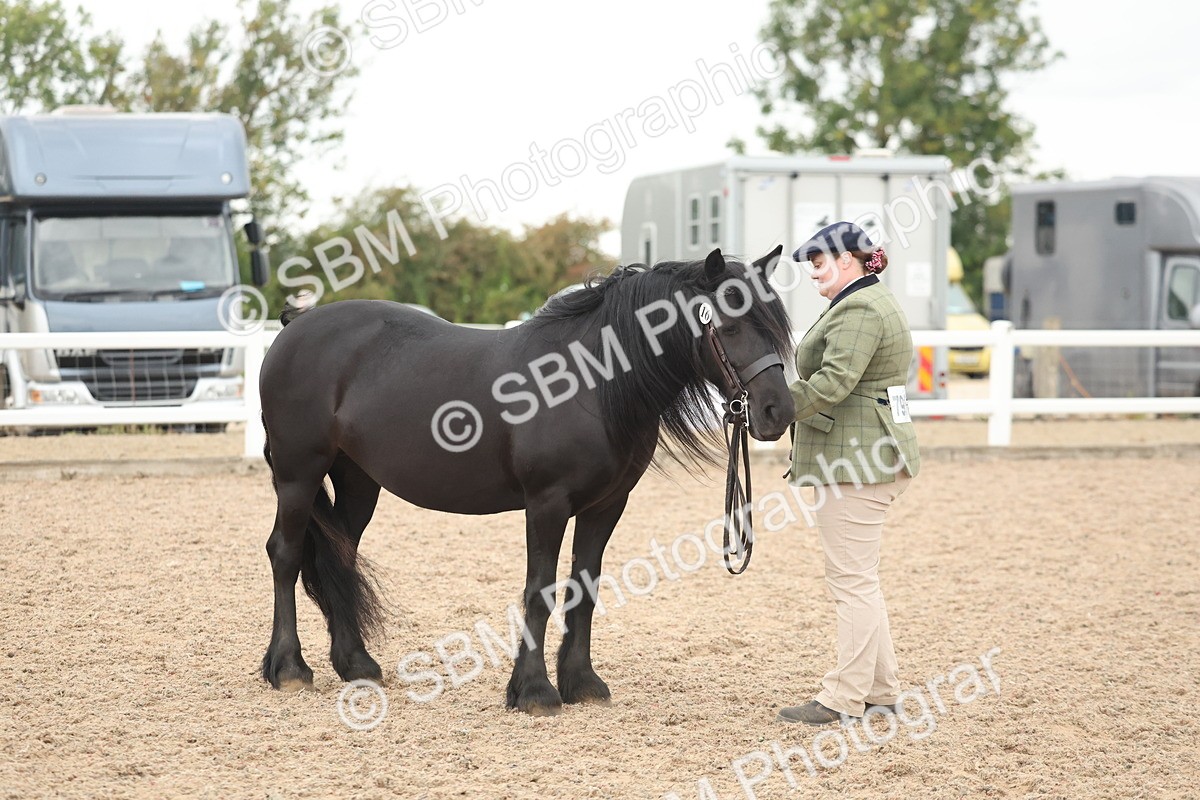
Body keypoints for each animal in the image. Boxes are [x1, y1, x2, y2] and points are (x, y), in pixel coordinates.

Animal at [258, 246, 795, 715]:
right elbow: (541, 589)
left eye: (775, 327)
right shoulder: (547, 502)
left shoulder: (607, 505)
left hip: (357, 480)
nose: (778, 412)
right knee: (285, 553)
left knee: (340, 555)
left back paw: (356, 664)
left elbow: (585, 588)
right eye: (728, 325)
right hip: (298, 473)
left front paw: (582, 683)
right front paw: (535, 690)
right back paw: (288, 668)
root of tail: (296, 326)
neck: (588, 383)